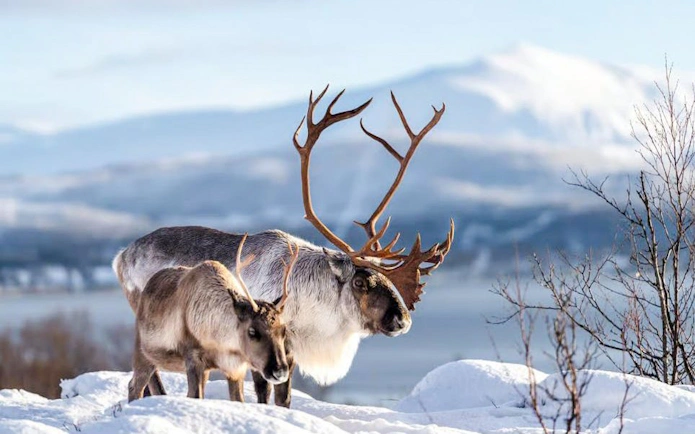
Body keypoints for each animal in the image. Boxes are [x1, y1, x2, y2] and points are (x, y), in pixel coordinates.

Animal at [127, 234, 298, 403]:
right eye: (252, 331)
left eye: (283, 331)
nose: (280, 371)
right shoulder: (193, 360)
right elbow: (195, 395)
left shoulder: (235, 370)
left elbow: (238, 399)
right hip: (143, 353)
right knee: (134, 386)